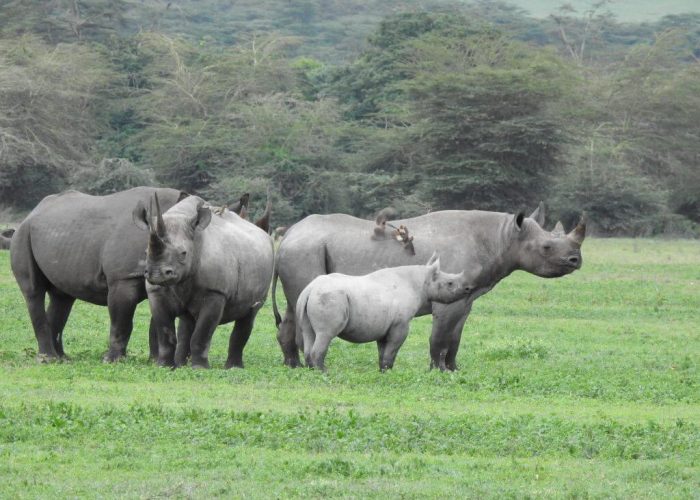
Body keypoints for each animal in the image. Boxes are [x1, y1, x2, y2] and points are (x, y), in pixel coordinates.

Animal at [10, 187, 187, 361]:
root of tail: (32, 212)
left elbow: (158, 319)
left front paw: (154, 361)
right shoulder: (122, 277)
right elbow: (121, 320)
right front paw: (112, 361)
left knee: (62, 297)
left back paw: (62, 359)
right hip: (22, 234)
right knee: (34, 292)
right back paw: (48, 359)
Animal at [134, 194, 274, 369]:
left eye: (183, 253)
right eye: (146, 252)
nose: (157, 274)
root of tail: (265, 234)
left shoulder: (215, 292)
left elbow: (202, 334)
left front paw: (200, 368)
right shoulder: (156, 292)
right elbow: (165, 333)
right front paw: (164, 366)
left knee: (249, 314)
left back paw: (234, 368)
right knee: (187, 322)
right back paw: (181, 364)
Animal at [297, 254, 478, 371]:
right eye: (450, 283)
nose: (468, 288)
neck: (422, 281)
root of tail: (310, 289)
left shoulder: (384, 325)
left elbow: (382, 351)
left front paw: (382, 371)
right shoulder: (400, 324)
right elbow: (392, 349)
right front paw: (390, 371)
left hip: (309, 298)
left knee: (309, 332)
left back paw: (312, 371)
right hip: (330, 297)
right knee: (326, 334)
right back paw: (324, 372)